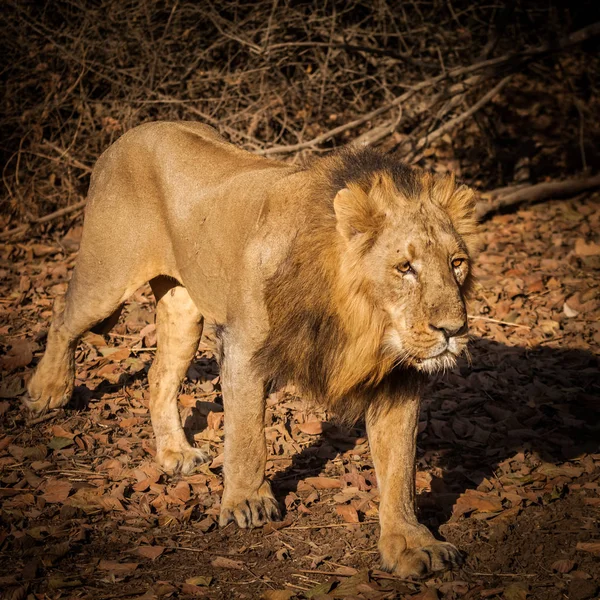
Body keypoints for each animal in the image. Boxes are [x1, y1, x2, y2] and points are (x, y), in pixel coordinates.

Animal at [27, 120, 478, 576]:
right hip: (107, 277)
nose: (454, 329)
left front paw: (411, 542)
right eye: (405, 267)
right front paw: (248, 501)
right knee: (61, 320)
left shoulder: (398, 378)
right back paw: (47, 391)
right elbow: (246, 435)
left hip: (183, 309)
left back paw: (175, 453)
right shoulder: (244, 348)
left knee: (159, 376)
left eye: (457, 263)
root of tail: (130, 133)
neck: (359, 323)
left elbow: (400, 468)